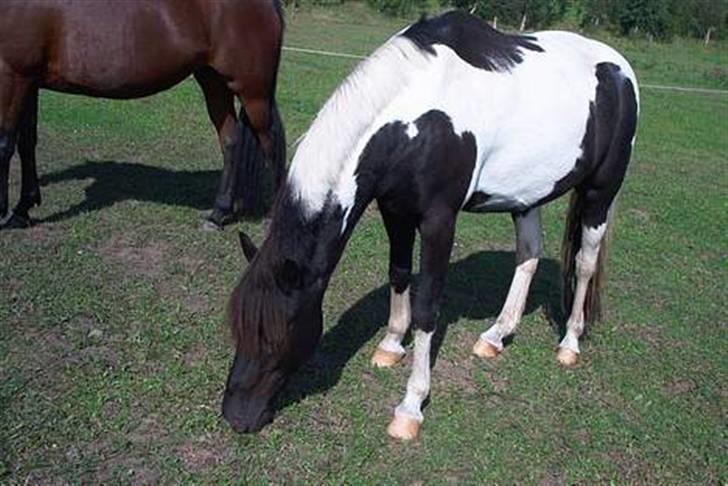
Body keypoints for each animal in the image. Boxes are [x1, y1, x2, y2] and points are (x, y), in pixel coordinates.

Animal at [0, 0, 288, 231]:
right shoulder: (29, 81)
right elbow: (26, 143)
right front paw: (22, 209)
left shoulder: (13, 75)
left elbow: (5, 144)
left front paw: (5, 215)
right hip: (213, 82)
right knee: (231, 142)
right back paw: (219, 214)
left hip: (252, 92)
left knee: (271, 144)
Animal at [220, 11, 636, 438]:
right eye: (239, 327)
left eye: (275, 334)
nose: (235, 415)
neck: (417, 119)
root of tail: (620, 69)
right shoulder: (394, 210)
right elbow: (400, 274)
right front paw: (390, 346)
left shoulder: (439, 221)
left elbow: (427, 306)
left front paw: (411, 406)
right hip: (527, 196)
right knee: (529, 255)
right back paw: (496, 335)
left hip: (599, 192)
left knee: (585, 264)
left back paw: (569, 343)